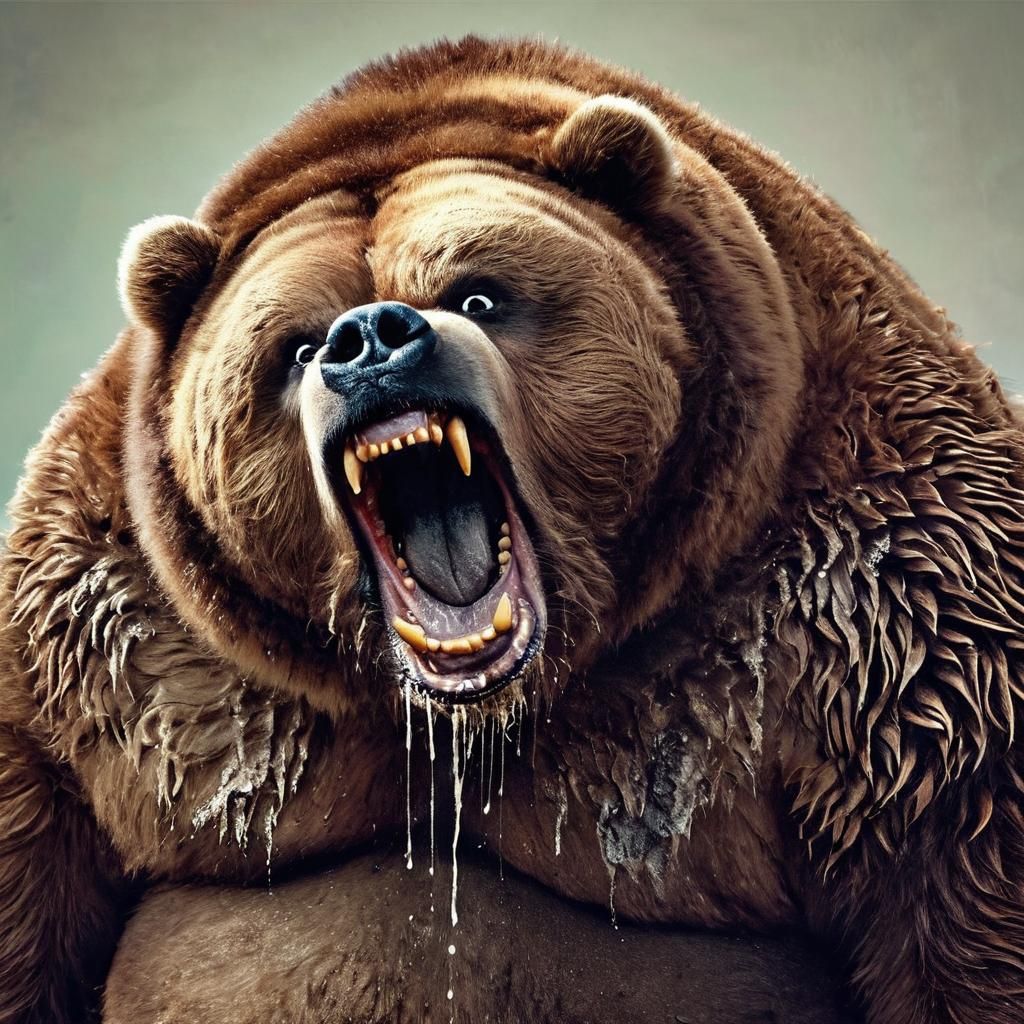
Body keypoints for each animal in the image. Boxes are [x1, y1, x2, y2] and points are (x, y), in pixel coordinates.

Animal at [2, 34, 1023, 1024]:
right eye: (294, 344)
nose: (369, 337)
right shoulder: (111, 663)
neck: (468, 718)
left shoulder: (862, 611)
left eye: (479, 293)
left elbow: (954, 857)